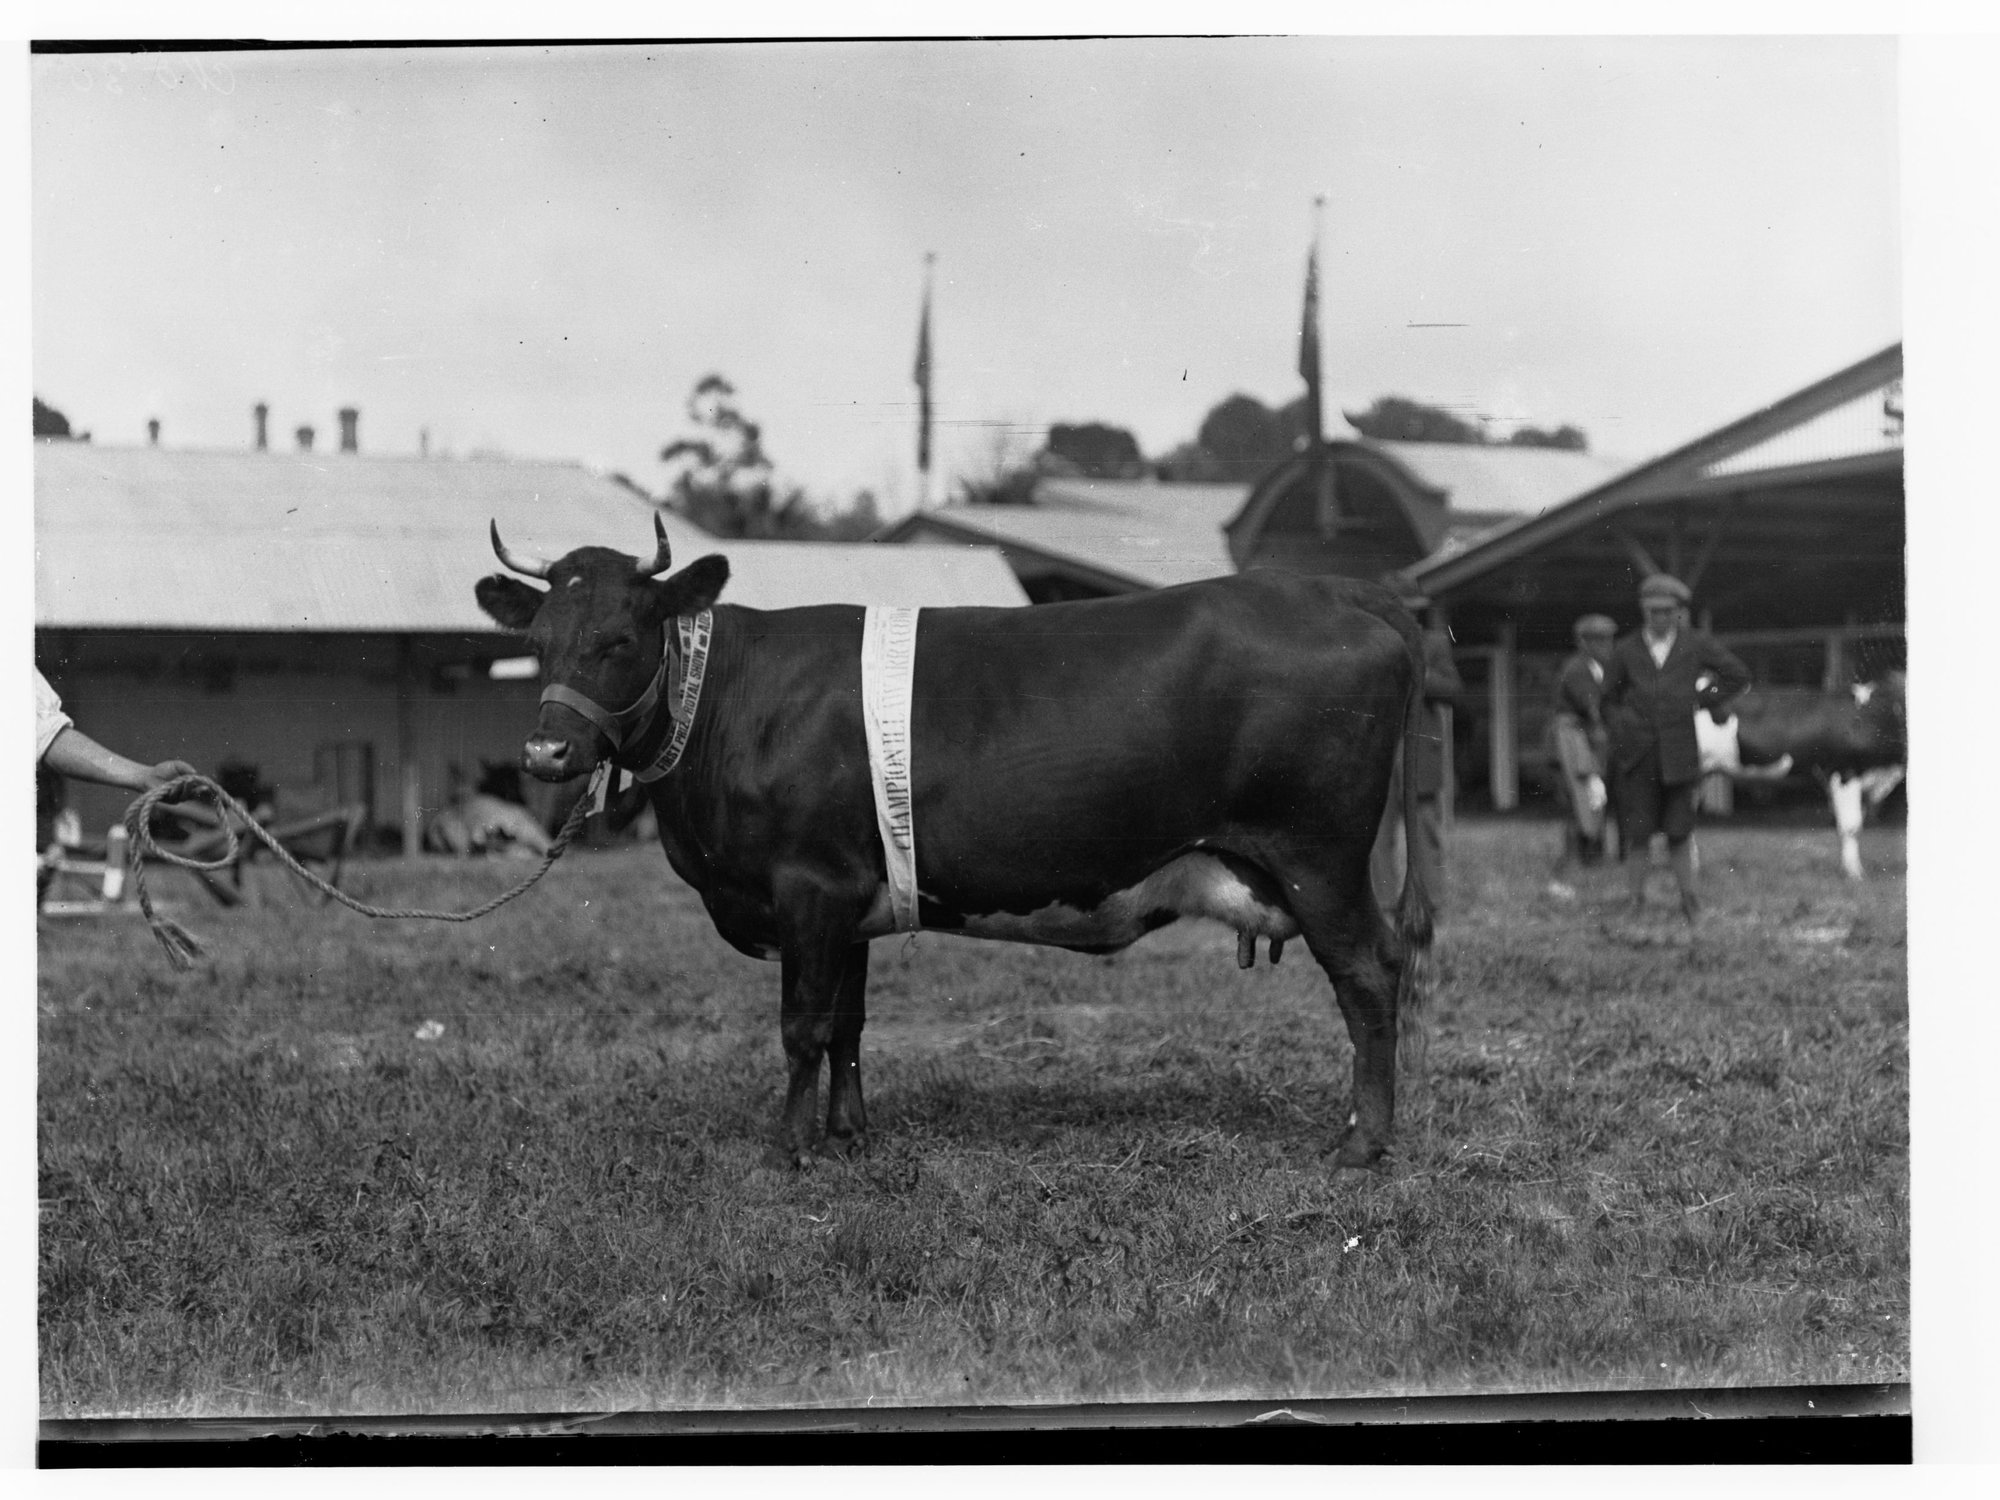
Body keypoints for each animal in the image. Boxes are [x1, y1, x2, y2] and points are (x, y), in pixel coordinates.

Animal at [474, 517, 1436, 1172]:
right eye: (537, 642)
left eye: (619, 640)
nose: (546, 752)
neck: (726, 702)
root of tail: (1340, 589)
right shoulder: (851, 895)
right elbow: (848, 1022)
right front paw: (849, 1133)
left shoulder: (807, 887)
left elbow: (800, 1025)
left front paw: (789, 1148)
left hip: (1319, 859)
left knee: (1369, 976)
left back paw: (1364, 1144)